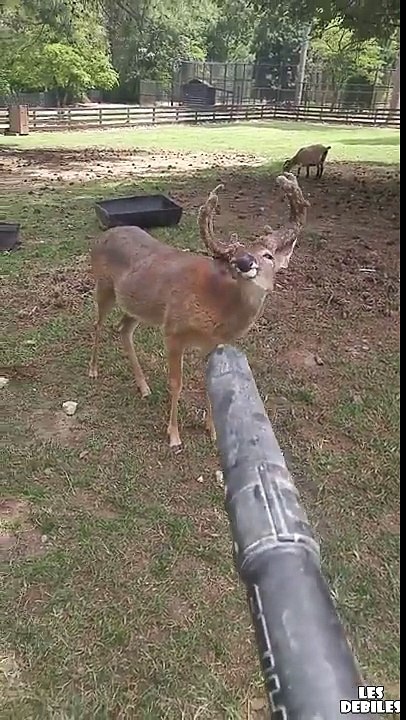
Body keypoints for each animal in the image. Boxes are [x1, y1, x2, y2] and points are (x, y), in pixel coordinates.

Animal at [88, 172, 309, 451]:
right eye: (233, 259)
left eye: (268, 255)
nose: (245, 263)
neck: (216, 308)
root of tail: (101, 238)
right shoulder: (172, 330)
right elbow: (176, 383)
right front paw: (174, 436)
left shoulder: (212, 345)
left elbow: (209, 384)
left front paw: (212, 430)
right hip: (103, 285)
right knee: (97, 323)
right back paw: (93, 370)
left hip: (136, 305)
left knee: (122, 329)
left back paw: (144, 387)